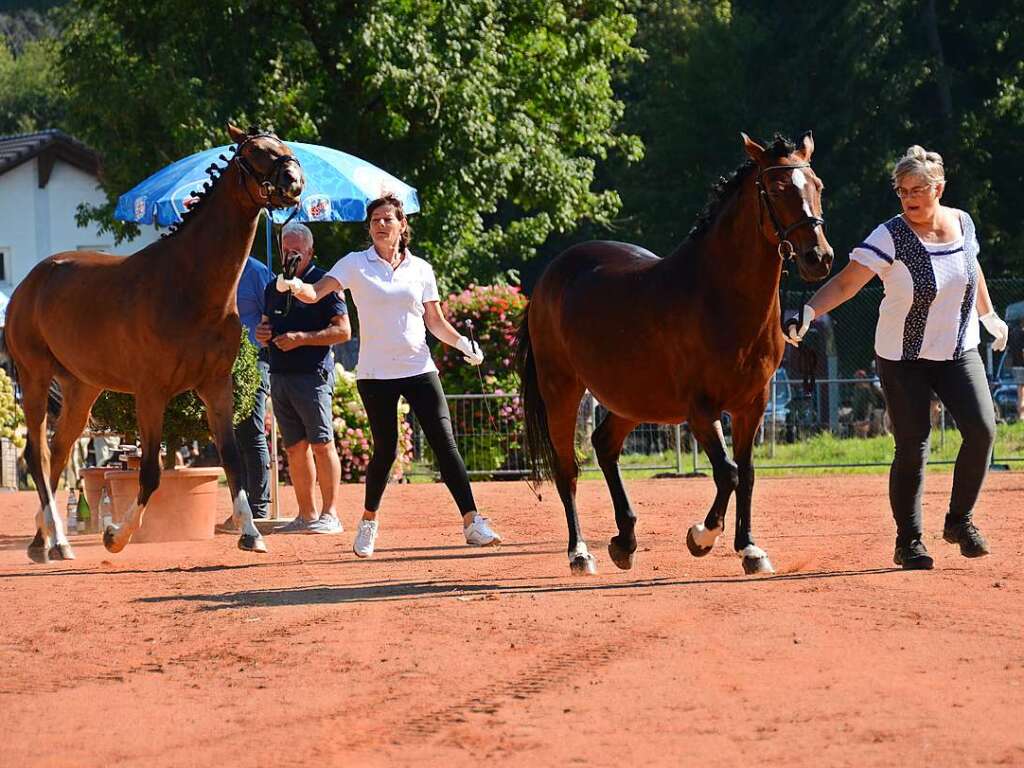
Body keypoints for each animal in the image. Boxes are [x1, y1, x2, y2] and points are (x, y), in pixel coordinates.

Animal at [8, 123, 303, 561]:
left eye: (283, 146)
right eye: (256, 152)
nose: (294, 181)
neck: (189, 285)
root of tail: (31, 281)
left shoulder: (216, 386)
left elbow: (233, 459)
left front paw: (251, 533)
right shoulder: (150, 393)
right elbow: (149, 471)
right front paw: (116, 535)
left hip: (81, 388)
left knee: (58, 451)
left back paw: (41, 541)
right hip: (35, 378)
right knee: (37, 454)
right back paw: (58, 540)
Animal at [516, 134, 835, 577]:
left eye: (817, 185)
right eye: (776, 189)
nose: (818, 258)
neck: (718, 296)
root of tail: (551, 275)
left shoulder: (752, 406)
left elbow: (747, 474)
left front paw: (749, 549)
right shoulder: (701, 410)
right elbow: (727, 473)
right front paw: (701, 537)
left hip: (632, 399)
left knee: (604, 445)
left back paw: (625, 541)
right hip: (561, 390)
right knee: (568, 470)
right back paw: (580, 553)